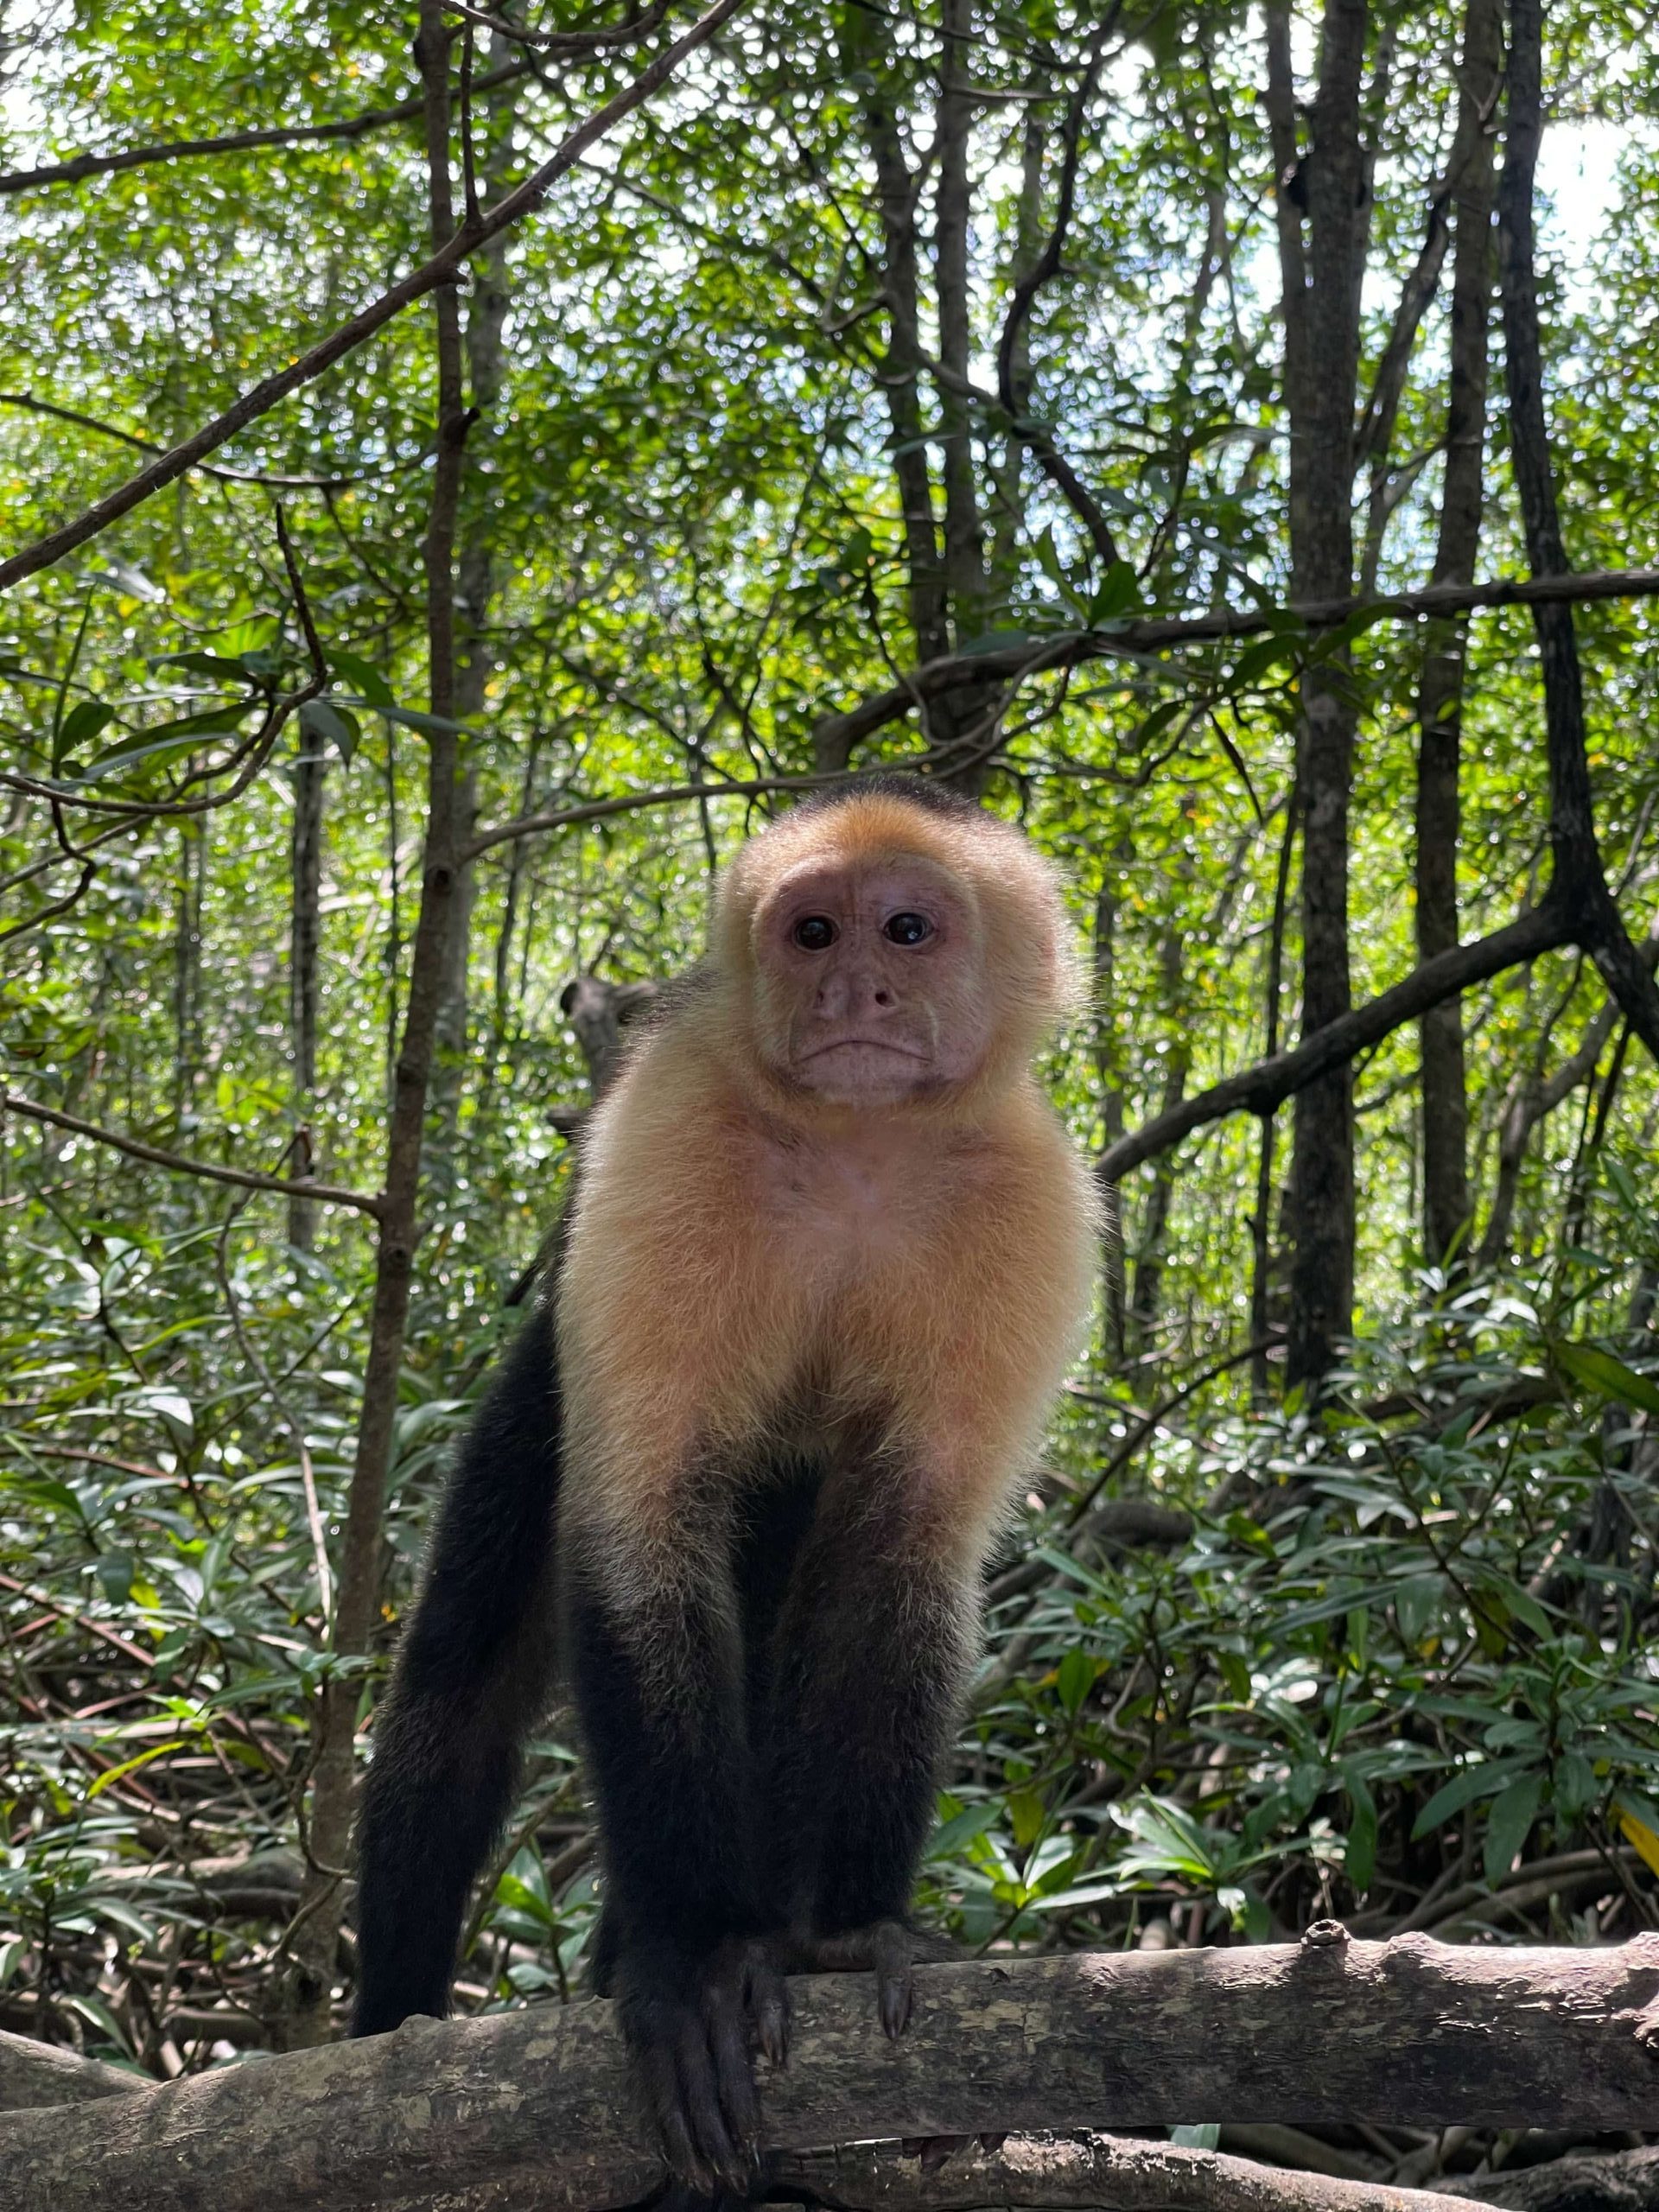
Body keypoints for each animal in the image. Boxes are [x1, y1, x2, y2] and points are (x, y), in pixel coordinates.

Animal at [352, 775, 1099, 2198]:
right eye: (812, 933)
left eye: (906, 929)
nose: (854, 990)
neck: (860, 1147)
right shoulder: (672, 1133)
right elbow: (643, 1527)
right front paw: (698, 1959)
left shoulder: (1030, 1204)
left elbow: (903, 1556)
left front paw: (847, 1931)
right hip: (538, 1392)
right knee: (460, 1691)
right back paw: (391, 2028)